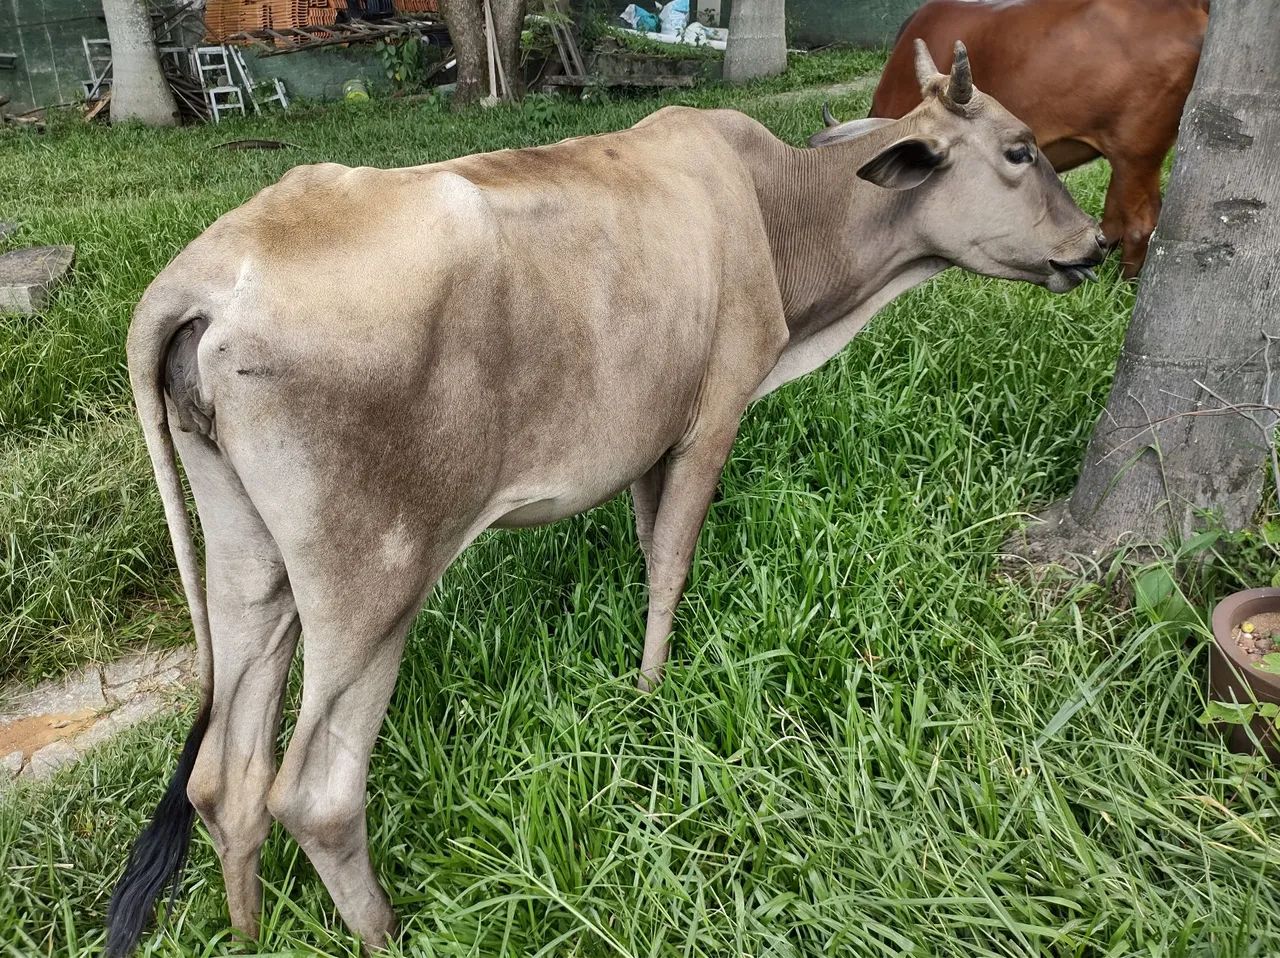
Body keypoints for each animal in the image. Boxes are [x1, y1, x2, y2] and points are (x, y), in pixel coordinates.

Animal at [104, 42, 1105, 956]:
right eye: (1020, 150)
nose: (1095, 243)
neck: (779, 208)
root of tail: (204, 272)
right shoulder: (714, 414)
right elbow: (672, 562)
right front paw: (654, 694)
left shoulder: (650, 439)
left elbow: (646, 544)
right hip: (373, 581)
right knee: (314, 793)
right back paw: (384, 932)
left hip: (249, 563)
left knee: (224, 779)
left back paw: (247, 930)